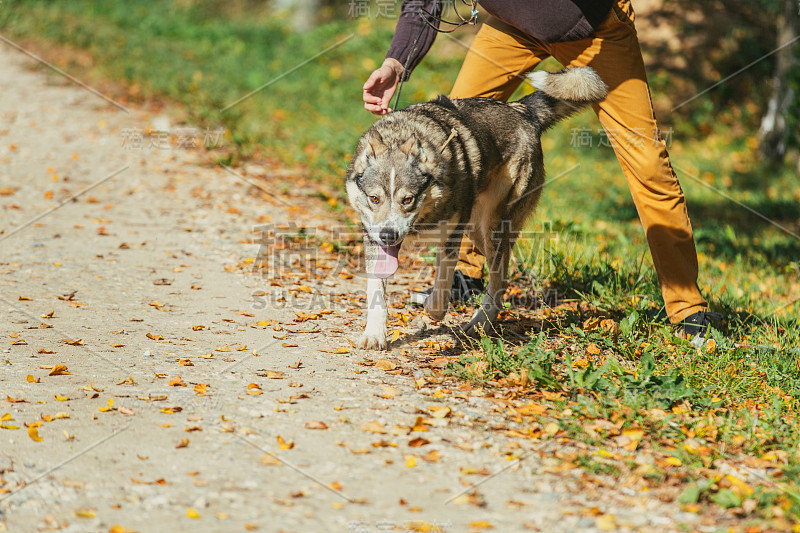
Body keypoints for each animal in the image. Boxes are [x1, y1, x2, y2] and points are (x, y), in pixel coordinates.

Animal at [346, 66, 608, 350]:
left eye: (408, 199)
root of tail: (522, 111)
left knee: (499, 279)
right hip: (475, 229)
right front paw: (374, 335)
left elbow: (441, 292)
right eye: (374, 199)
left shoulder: (451, 237)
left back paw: (480, 323)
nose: (388, 235)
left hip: (491, 227)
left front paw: (432, 306)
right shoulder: (373, 237)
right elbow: (376, 290)